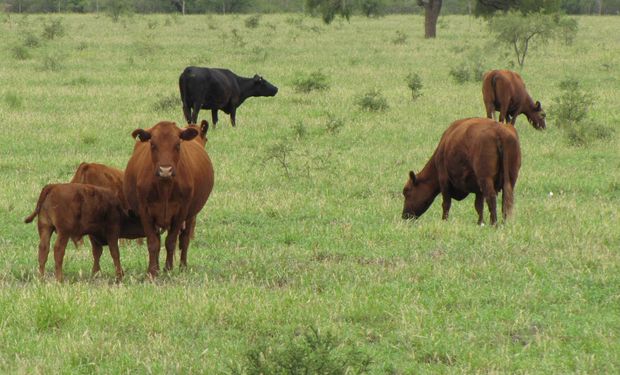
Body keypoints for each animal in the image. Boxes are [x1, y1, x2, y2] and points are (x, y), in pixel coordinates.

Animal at [123, 122, 216, 278]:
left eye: (177, 144)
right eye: (153, 144)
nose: (165, 170)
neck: (165, 187)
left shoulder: (182, 212)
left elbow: (171, 241)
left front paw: (168, 269)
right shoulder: (144, 211)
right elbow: (153, 242)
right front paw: (152, 271)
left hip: (191, 215)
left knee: (184, 240)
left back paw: (183, 267)